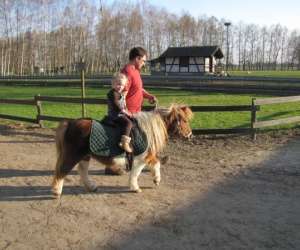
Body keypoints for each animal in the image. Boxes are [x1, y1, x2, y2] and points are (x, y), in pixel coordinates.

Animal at [51, 104, 193, 196]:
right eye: (184, 121)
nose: (190, 135)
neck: (147, 130)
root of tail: (70, 123)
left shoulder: (148, 155)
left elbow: (156, 164)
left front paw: (156, 179)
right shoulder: (140, 158)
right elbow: (136, 173)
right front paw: (135, 188)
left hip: (85, 155)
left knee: (82, 170)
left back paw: (91, 187)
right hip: (73, 155)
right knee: (63, 170)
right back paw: (57, 191)